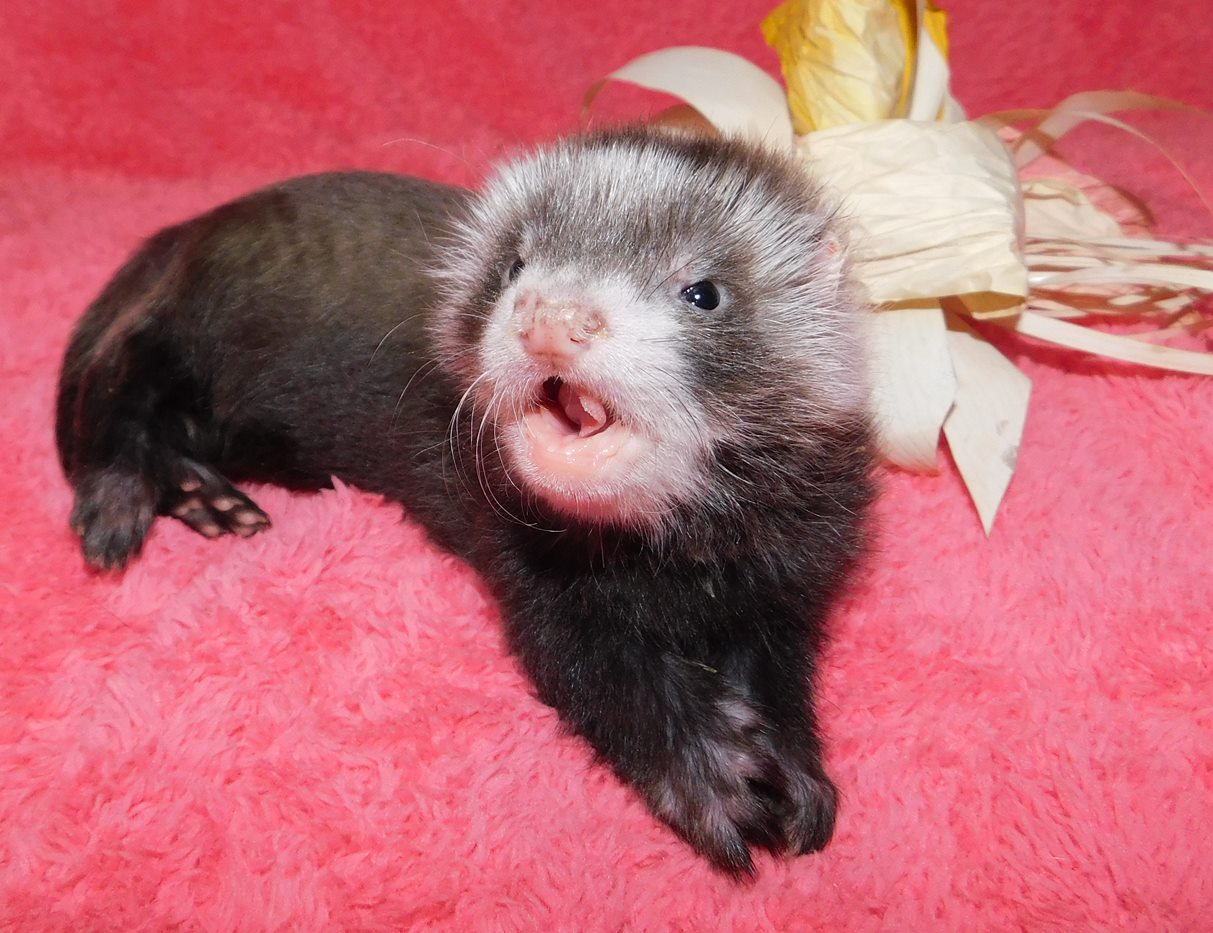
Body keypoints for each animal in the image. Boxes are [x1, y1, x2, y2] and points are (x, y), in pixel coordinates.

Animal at [55, 126, 874, 875]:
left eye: (703, 290)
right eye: (514, 262)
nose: (553, 316)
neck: (677, 568)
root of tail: (188, 229)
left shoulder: (789, 586)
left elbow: (782, 681)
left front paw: (798, 778)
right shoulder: (541, 587)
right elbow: (608, 681)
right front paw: (712, 774)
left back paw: (204, 496)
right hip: (176, 338)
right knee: (117, 384)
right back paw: (123, 500)